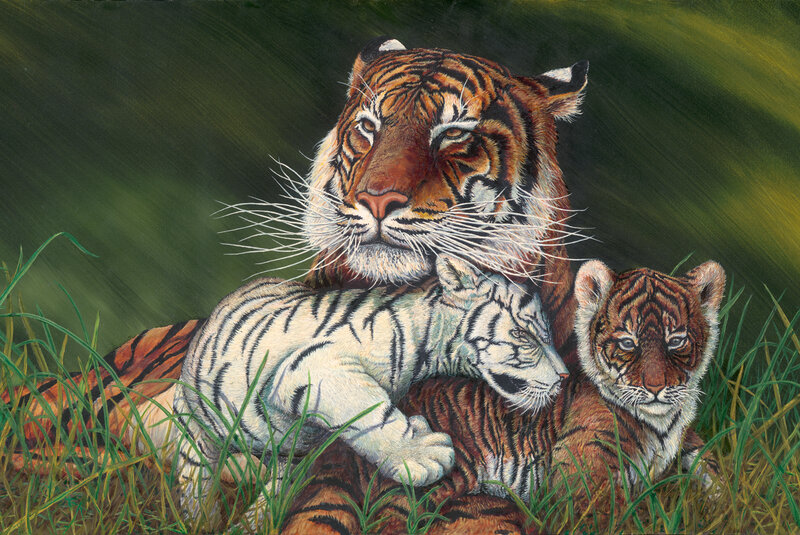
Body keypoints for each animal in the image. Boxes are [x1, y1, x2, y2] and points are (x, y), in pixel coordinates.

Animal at [174, 254, 568, 527]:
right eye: (523, 335)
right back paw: (201, 520)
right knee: (194, 480)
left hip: (286, 455)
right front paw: (423, 455)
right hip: (192, 424)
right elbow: (371, 412)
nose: (565, 376)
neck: (427, 346)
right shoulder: (316, 365)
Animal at [281, 259, 726, 534]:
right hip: (438, 478)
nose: (655, 386)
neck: (663, 418)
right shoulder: (582, 464)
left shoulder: (688, 440)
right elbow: (603, 513)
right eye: (627, 342)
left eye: (677, 341)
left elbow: (709, 466)